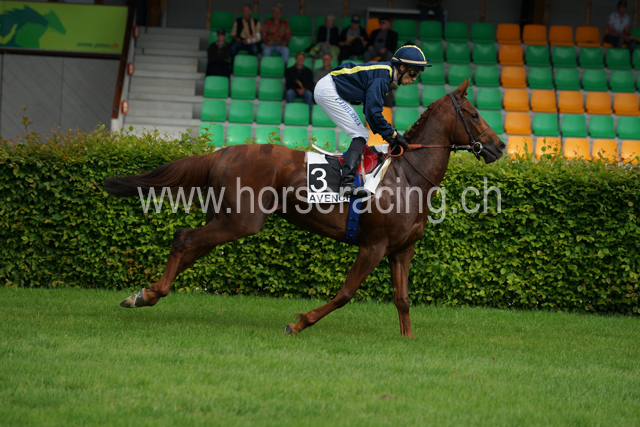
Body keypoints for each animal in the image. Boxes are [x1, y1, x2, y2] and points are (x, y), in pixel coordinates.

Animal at [104, 80, 505, 338]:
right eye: (473, 114)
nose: (500, 146)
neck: (408, 177)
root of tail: (222, 151)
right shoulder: (372, 246)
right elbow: (345, 294)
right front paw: (297, 323)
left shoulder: (401, 250)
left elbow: (403, 299)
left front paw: (408, 341)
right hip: (241, 221)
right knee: (183, 238)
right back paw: (149, 294)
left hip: (225, 218)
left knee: (189, 248)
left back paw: (145, 294)